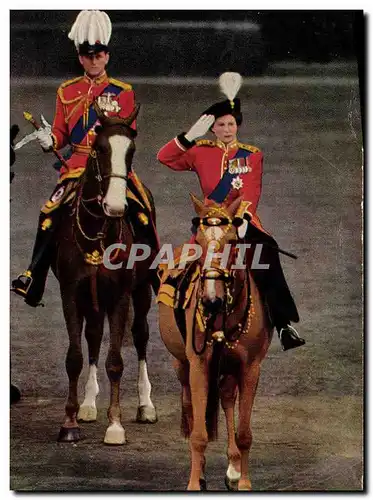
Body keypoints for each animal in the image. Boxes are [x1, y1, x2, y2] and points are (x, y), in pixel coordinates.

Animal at [52, 103, 157, 444]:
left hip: (141, 291)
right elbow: (75, 357)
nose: (115, 206)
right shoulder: (71, 293)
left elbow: (116, 362)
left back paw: (145, 405)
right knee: (95, 337)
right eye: (99, 148)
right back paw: (87, 405)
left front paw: (115, 426)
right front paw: (70, 421)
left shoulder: (121, 295)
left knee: (140, 335)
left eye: (131, 150)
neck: (97, 231)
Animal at [158, 194, 272, 488]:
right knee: (190, 406)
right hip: (181, 365)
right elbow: (199, 434)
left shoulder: (250, 368)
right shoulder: (199, 364)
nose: (210, 300)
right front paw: (194, 482)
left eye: (231, 240)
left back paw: (233, 467)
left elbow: (244, 432)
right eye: (198, 241)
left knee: (227, 399)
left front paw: (244, 482)